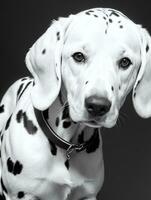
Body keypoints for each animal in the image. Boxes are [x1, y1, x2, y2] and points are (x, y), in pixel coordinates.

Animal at [0, 6, 151, 200]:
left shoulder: (87, 195)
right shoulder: (21, 194)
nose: (97, 106)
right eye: (78, 56)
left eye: (125, 62)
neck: (66, 143)